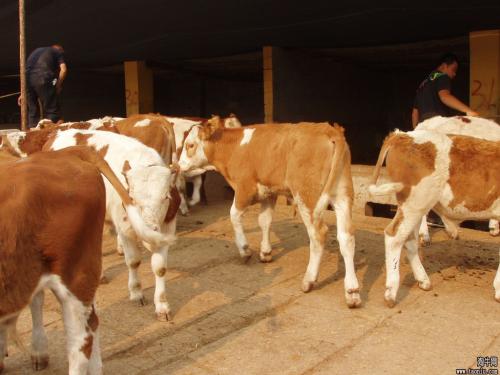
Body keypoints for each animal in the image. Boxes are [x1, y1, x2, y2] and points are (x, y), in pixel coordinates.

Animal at [178, 122, 362, 306]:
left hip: (307, 197)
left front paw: (245, 250)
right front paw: (265, 252)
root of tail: (329, 130)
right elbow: (264, 221)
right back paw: (352, 291)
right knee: (346, 238)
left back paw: (308, 280)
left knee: (318, 235)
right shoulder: (269, 192)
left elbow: (234, 215)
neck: (235, 147)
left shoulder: (244, 189)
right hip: (342, 195)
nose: (178, 166)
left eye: (190, 145)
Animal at [370, 131, 498, 306]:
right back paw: (391, 293)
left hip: (416, 207)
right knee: (394, 237)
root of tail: (402, 135)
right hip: (414, 203)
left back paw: (423, 280)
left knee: (409, 239)